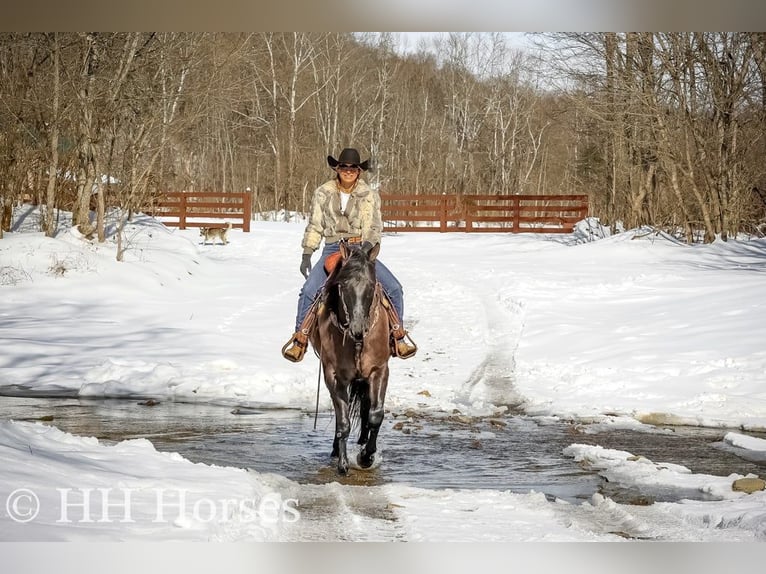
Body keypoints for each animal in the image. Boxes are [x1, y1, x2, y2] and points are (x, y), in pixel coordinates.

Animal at [310, 240, 392, 476]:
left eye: (371, 285)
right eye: (343, 285)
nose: (357, 329)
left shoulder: (379, 370)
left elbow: (375, 415)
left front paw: (366, 457)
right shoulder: (334, 375)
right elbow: (344, 421)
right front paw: (343, 464)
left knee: (365, 409)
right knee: (342, 418)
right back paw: (337, 450)